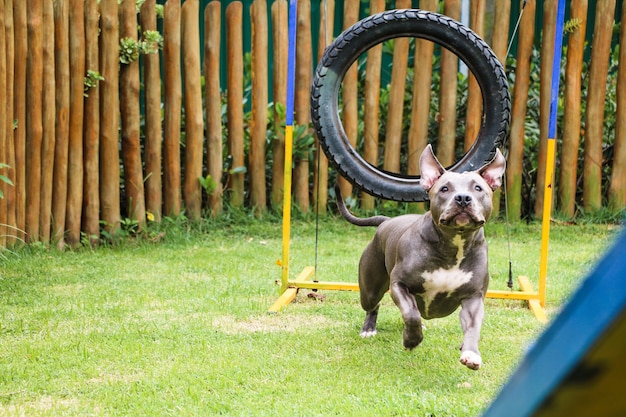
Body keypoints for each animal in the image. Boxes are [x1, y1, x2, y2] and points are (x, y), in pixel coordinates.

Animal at [334, 145, 504, 368]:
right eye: (444, 189)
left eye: (478, 188)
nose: (463, 198)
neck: (454, 244)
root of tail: (386, 222)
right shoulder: (399, 284)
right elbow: (411, 314)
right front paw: (411, 340)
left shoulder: (473, 297)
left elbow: (473, 326)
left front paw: (471, 353)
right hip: (370, 290)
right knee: (374, 305)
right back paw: (369, 329)